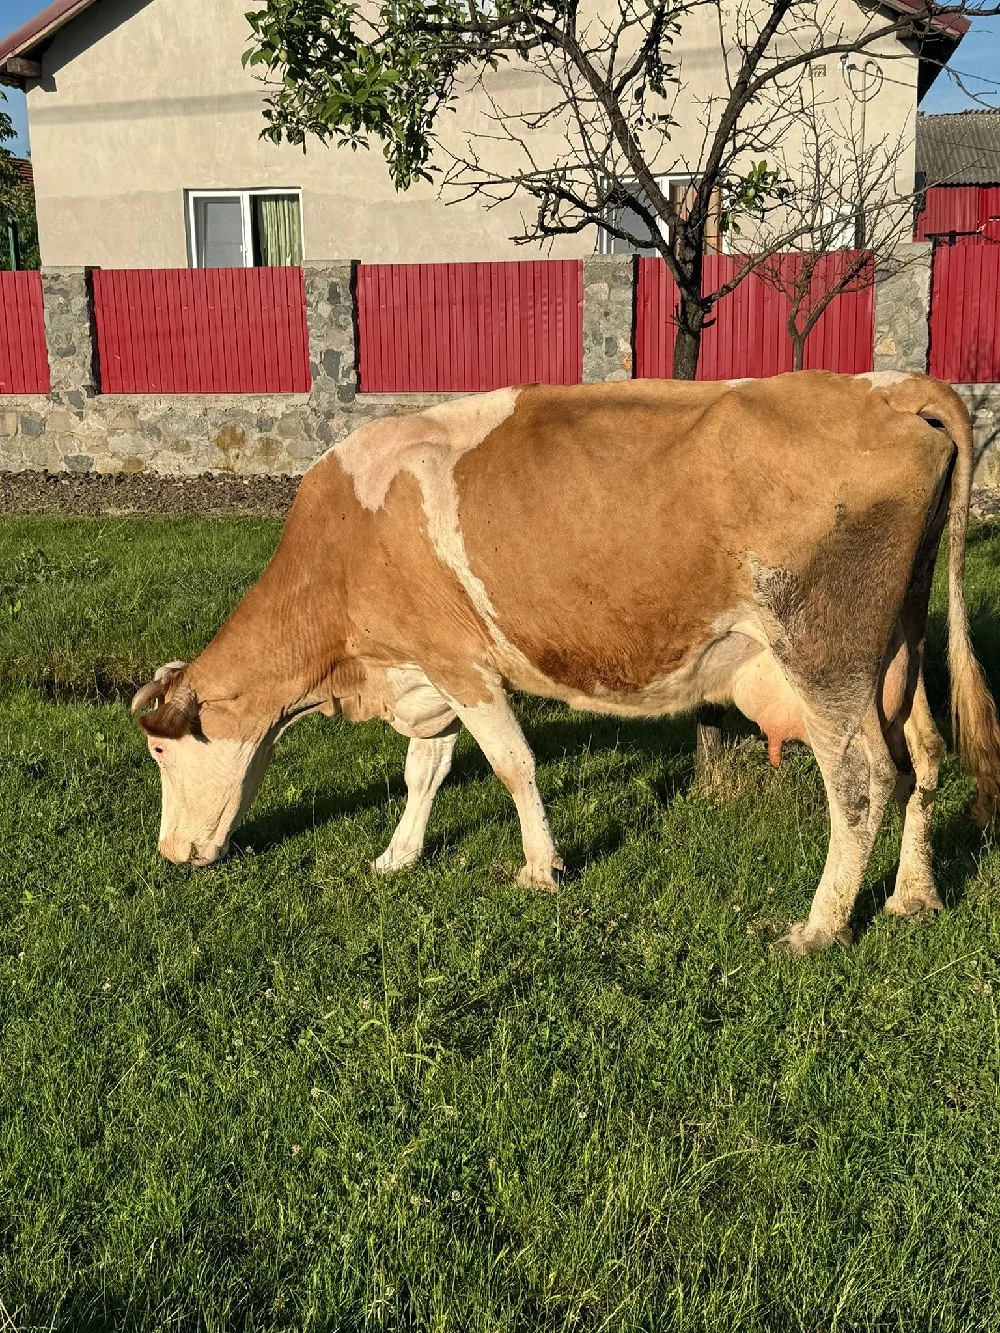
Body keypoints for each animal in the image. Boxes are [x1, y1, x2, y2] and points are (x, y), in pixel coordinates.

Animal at [131, 370, 1000, 954]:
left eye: (160, 749)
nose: (170, 853)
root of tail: (885, 386)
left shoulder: (461, 661)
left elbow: (512, 764)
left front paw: (540, 867)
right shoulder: (429, 668)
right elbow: (425, 770)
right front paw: (398, 854)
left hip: (823, 649)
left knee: (861, 779)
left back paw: (819, 927)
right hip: (894, 650)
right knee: (924, 757)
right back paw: (913, 895)